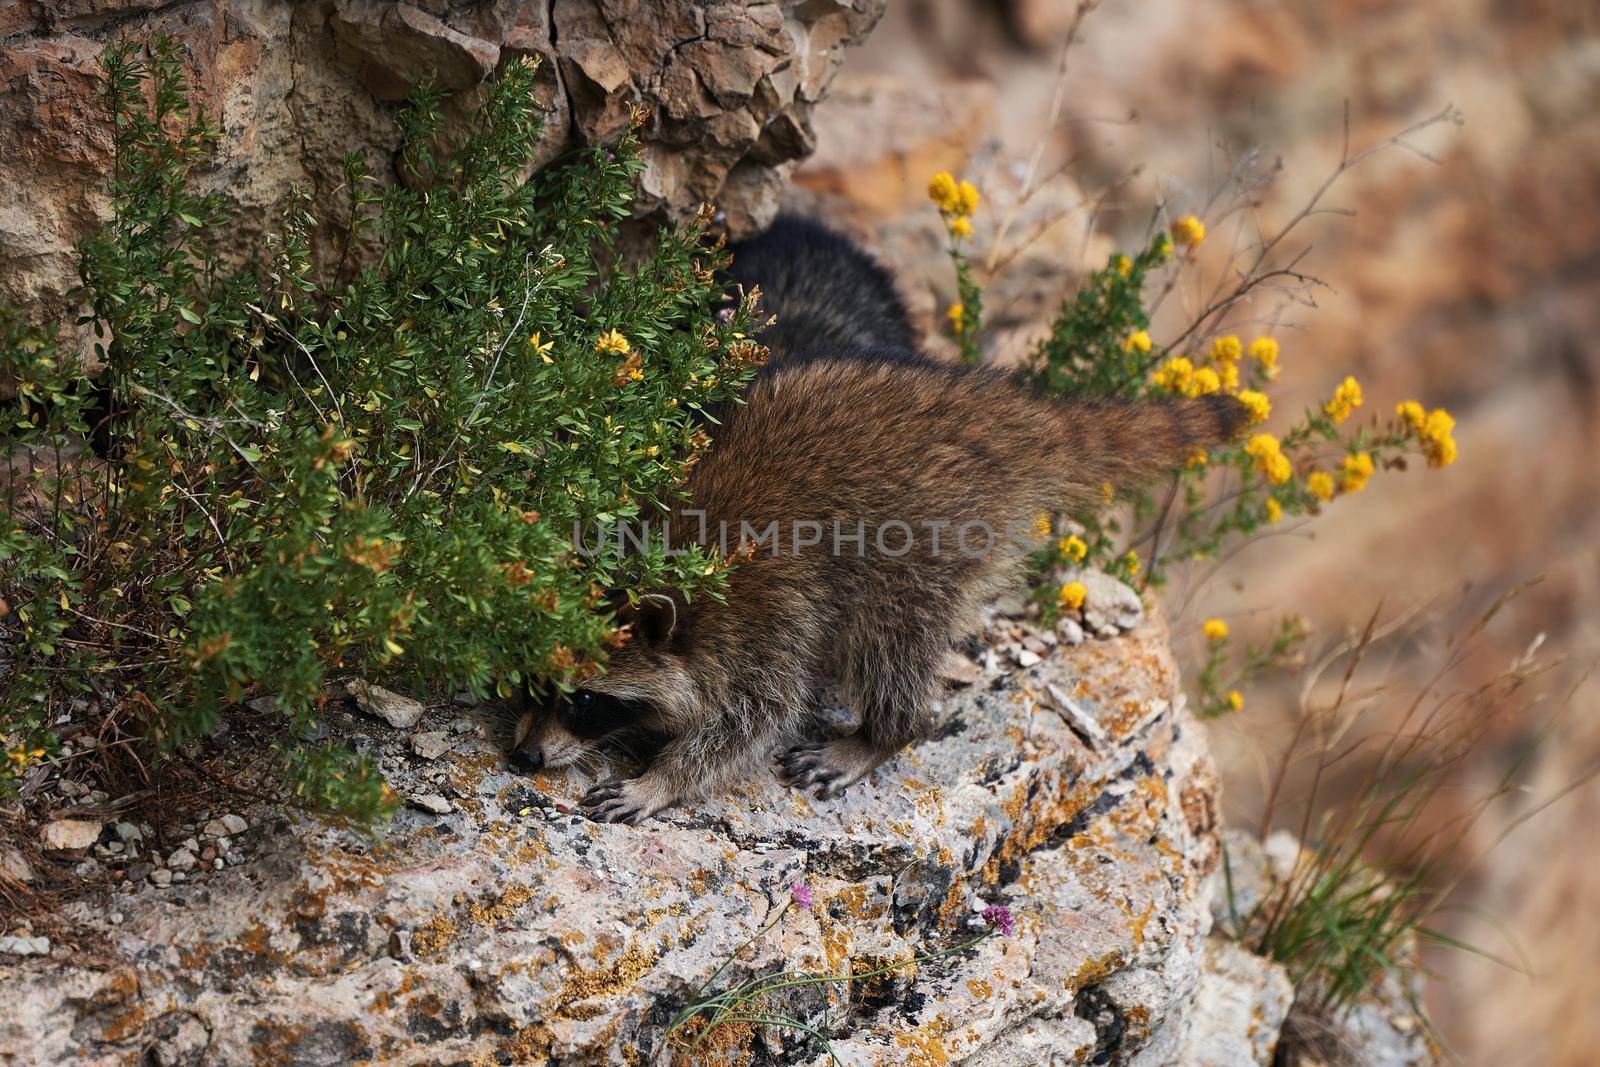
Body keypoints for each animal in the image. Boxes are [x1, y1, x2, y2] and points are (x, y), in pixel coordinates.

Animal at [505, 217, 1241, 825]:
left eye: (586, 700)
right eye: (533, 679)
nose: (525, 759)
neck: (662, 555)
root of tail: (1006, 415)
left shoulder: (763, 623)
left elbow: (752, 720)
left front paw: (663, 778)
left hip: (928, 545)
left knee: (895, 647)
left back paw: (884, 733)